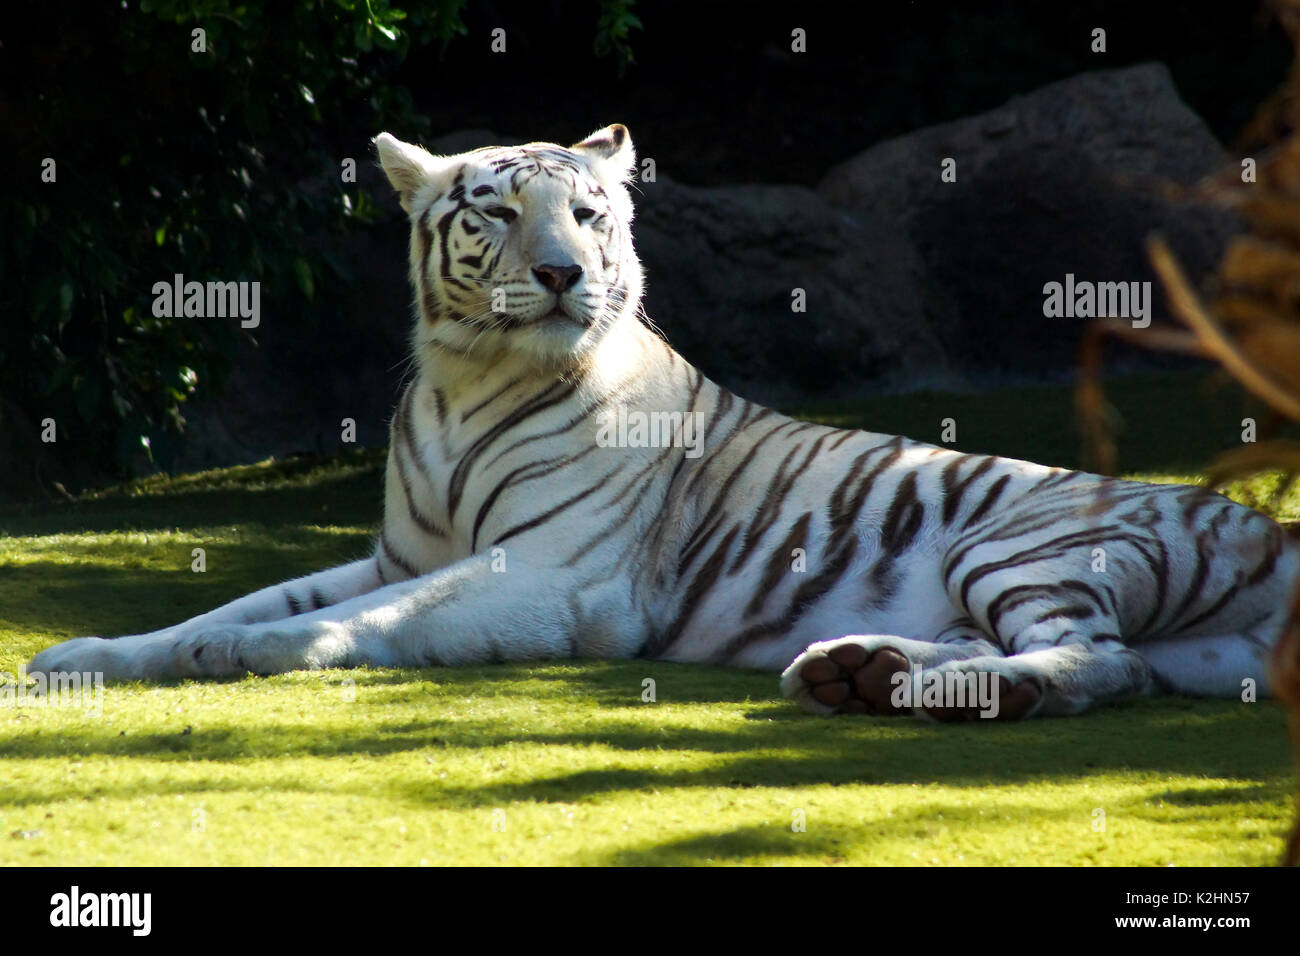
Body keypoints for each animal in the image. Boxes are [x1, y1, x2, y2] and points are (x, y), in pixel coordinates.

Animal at [30, 127, 1300, 723]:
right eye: (498, 212)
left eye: (589, 213)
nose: (560, 273)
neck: (463, 381)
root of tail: (1269, 527)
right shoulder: (400, 550)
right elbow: (236, 597)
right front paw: (85, 655)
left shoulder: (554, 572)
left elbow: (355, 620)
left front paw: (239, 655)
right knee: (1098, 655)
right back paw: (857, 670)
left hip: (1016, 542)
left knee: (1105, 659)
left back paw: (936, 688)